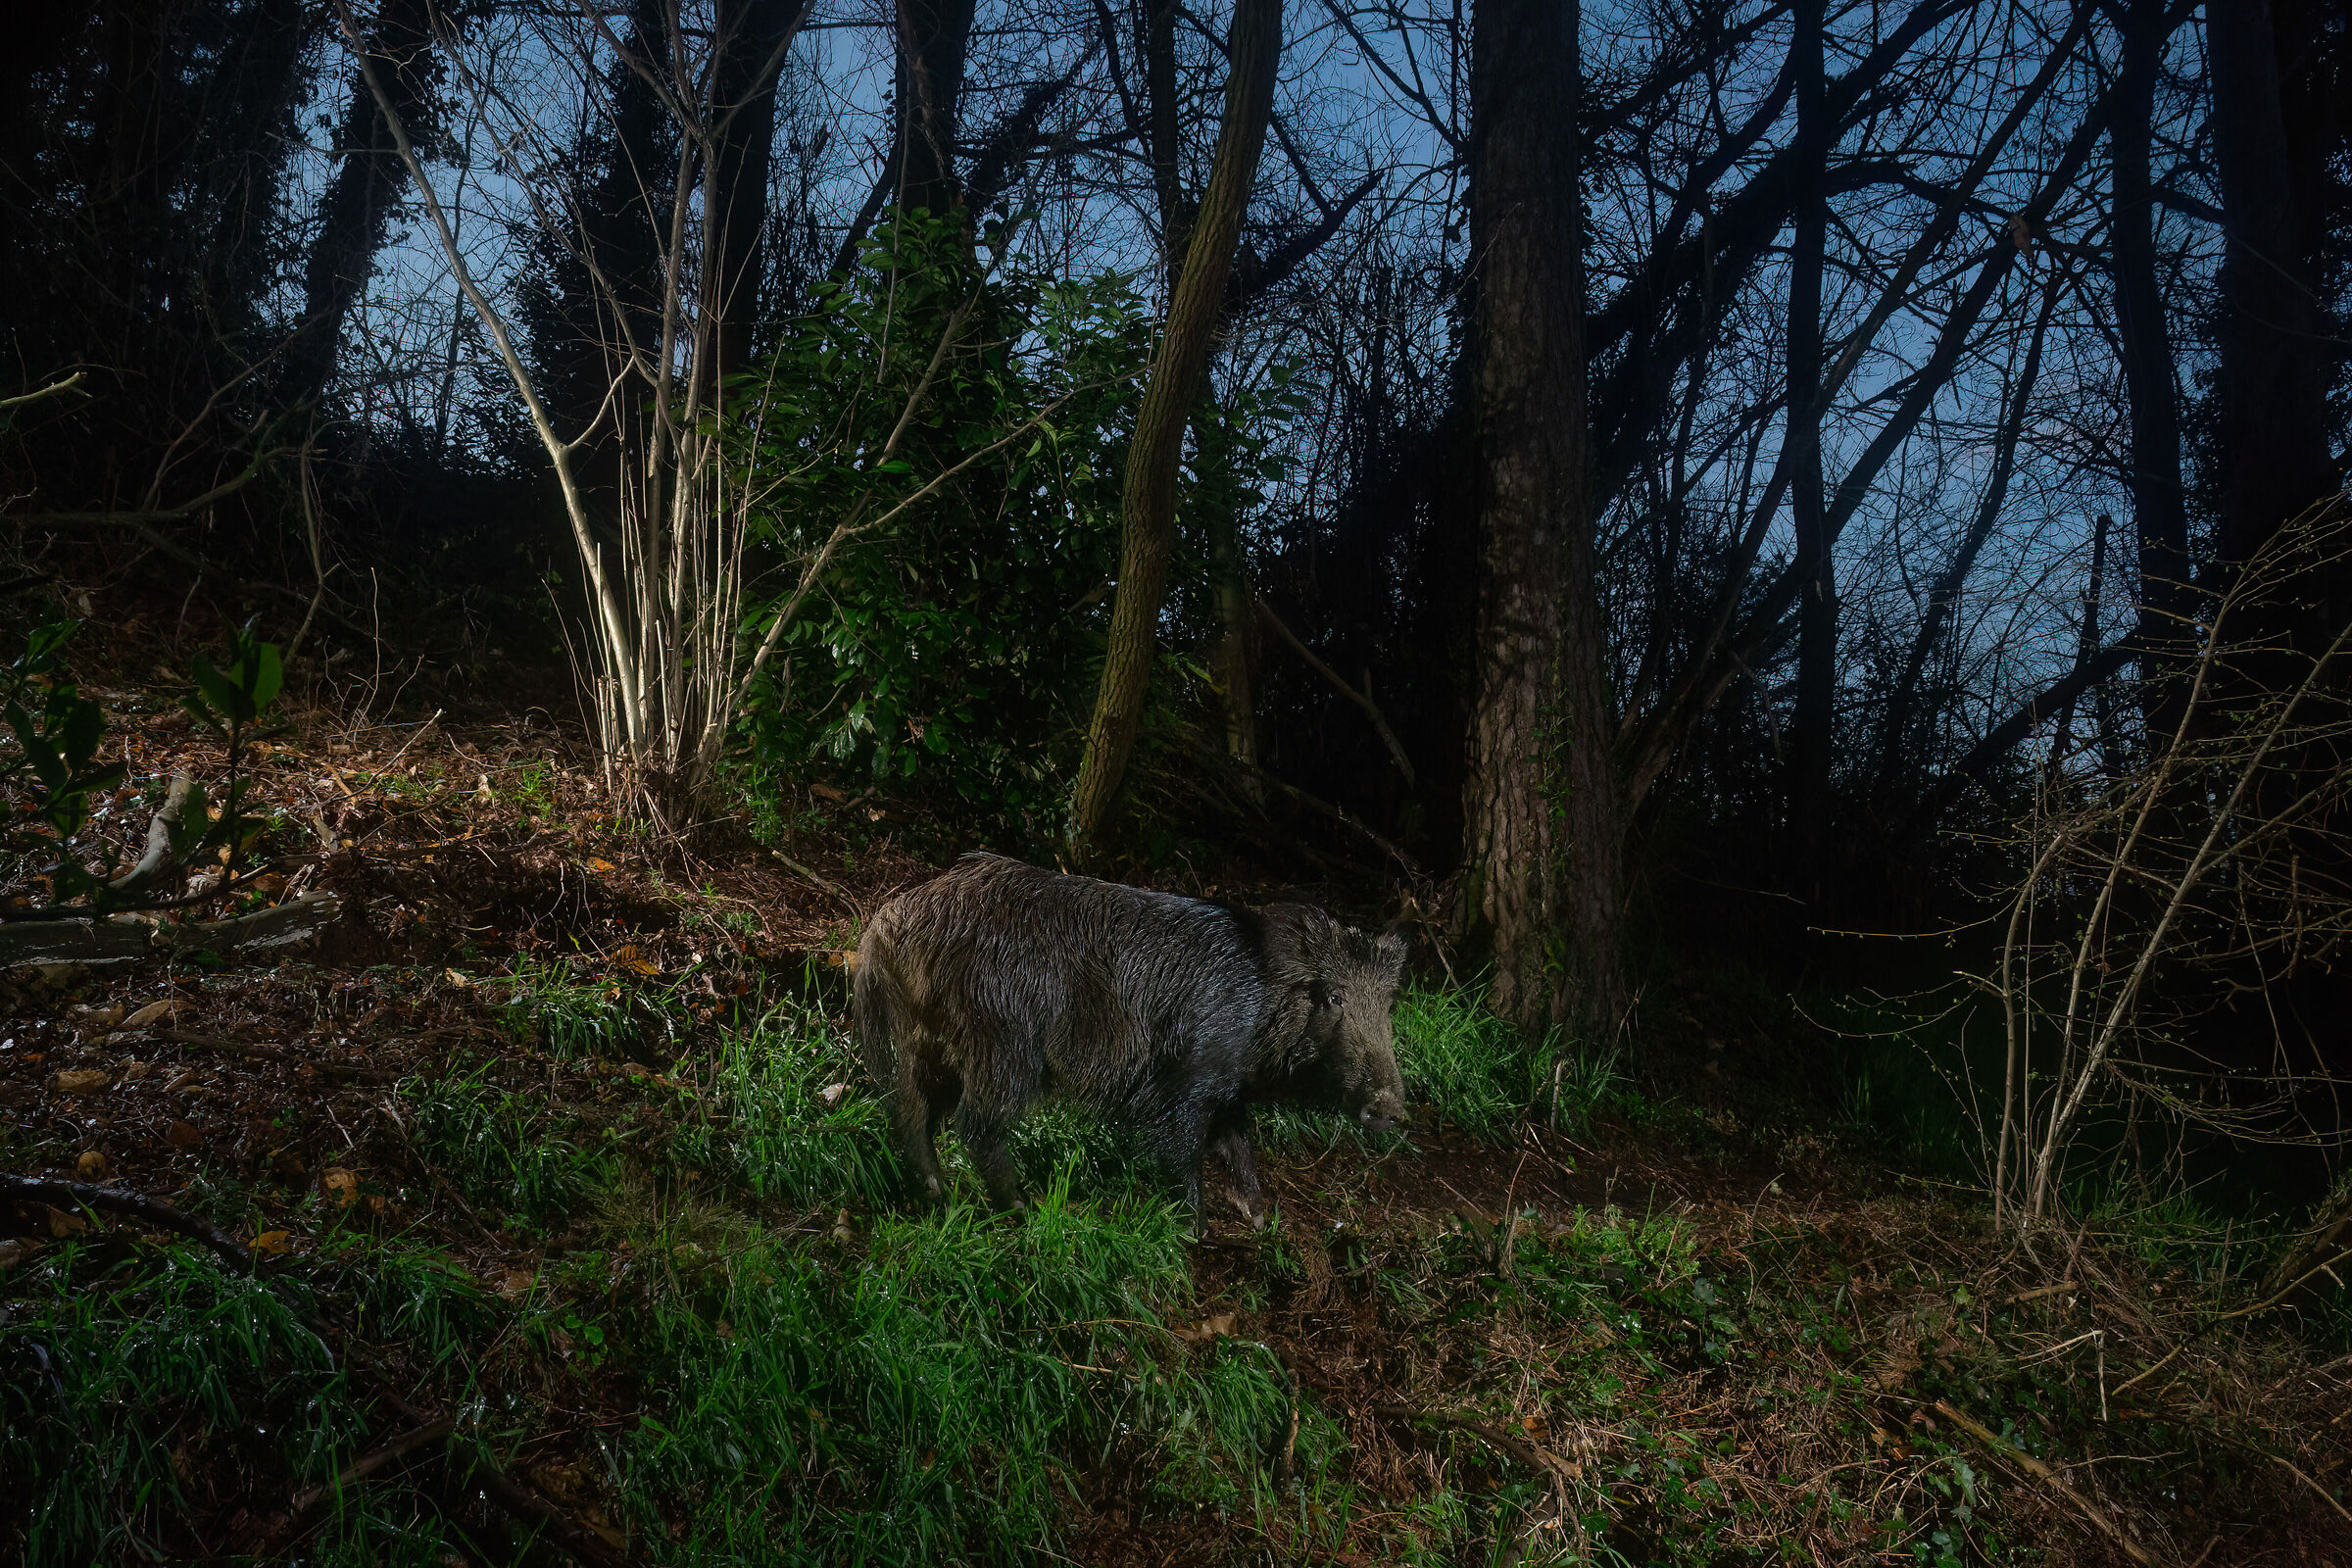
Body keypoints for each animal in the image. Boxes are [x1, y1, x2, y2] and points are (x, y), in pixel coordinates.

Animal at [854, 853, 1407, 1221]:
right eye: (1334, 997)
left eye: (1388, 1004)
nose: (1392, 1107)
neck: (1260, 1005)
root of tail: (890, 921)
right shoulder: (1186, 1079)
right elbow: (1185, 1149)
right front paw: (1194, 1229)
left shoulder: (1227, 1091)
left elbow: (1238, 1145)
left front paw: (1260, 1218)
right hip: (1002, 1044)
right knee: (974, 1124)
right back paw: (1023, 1206)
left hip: (931, 1040)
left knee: (910, 1109)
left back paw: (937, 1193)